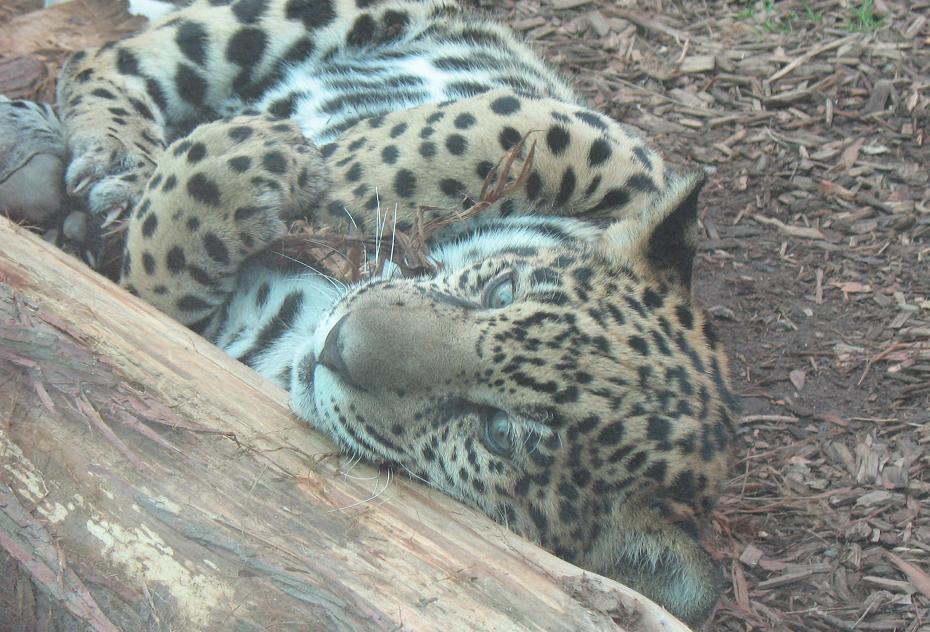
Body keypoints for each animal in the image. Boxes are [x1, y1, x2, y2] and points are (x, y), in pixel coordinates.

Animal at [11, 0, 739, 623]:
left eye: (497, 433)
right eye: (502, 291)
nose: (339, 344)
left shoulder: (221, 332)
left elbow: (154, 277)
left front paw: (235, 171)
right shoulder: (619, 150)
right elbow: (506, 130)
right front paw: (320, 169)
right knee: (101, 58)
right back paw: (112, 157)